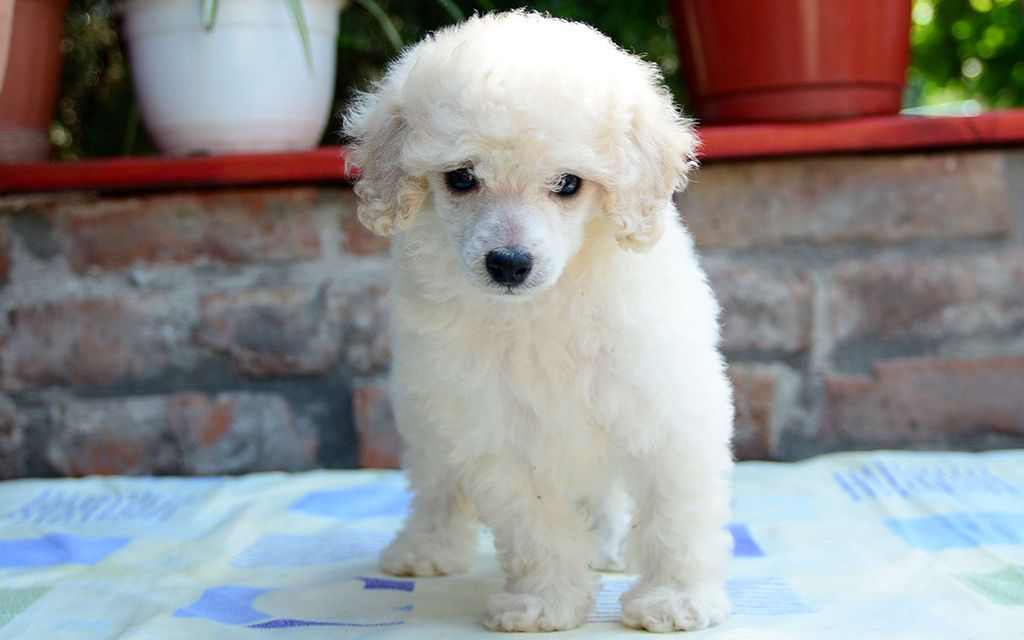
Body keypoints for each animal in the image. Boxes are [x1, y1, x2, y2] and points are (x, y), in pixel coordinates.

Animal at [346, 11, 737, 634]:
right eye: (461, 178)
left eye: (568, 184)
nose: (509, 263)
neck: (541, 307)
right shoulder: (493, 432)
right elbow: (535, 527)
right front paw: (545, 602)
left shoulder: (667, 408)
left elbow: (675, 514)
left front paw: (676, 599)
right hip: (424, 408)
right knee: (435, 484)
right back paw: (425, 548)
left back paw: (606, 546)